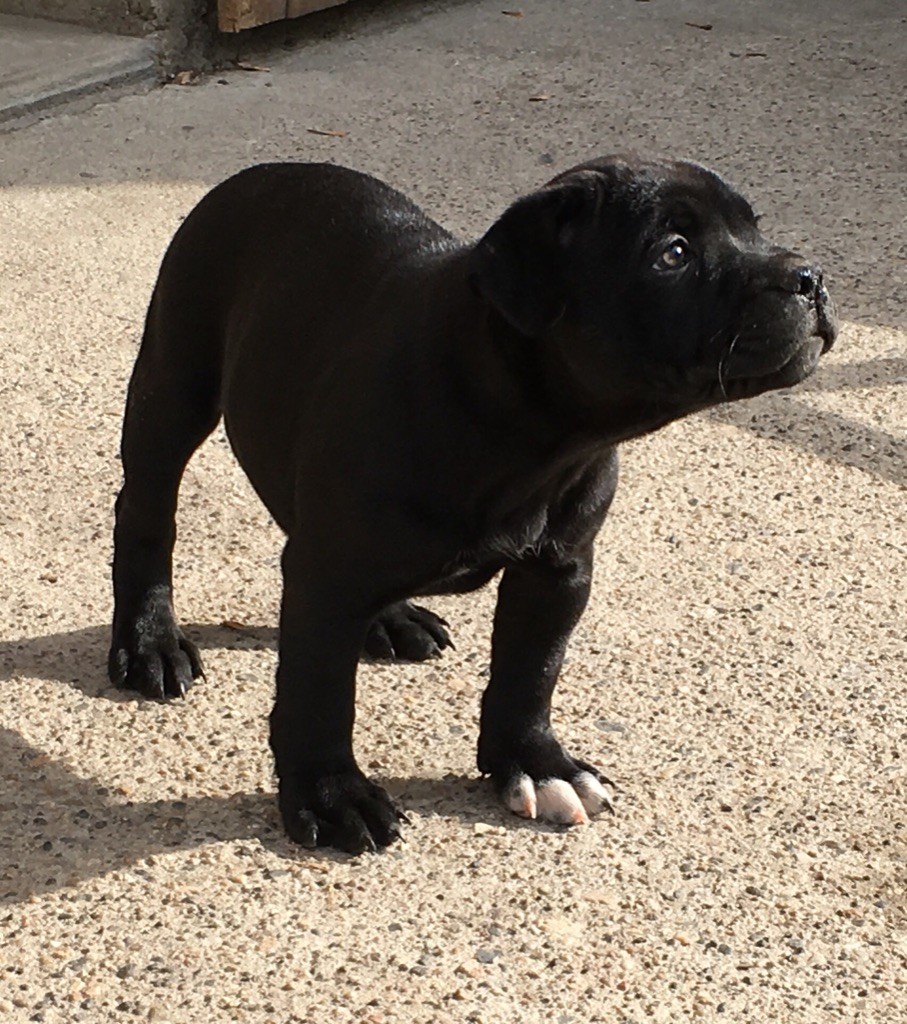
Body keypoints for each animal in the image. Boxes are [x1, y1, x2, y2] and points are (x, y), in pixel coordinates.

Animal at [109, 156, 837, 853]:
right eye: (673, 253)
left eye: (754, 228)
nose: (809, 277)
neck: (533, 431)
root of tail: (256, 175)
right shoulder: (327, 578)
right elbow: (318, 693)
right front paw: (331, 796)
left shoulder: (558, 571)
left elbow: (530, 673)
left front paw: (536, 764)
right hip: (173, 387)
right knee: (145, 515)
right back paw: (150, 642)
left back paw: (393, 618)